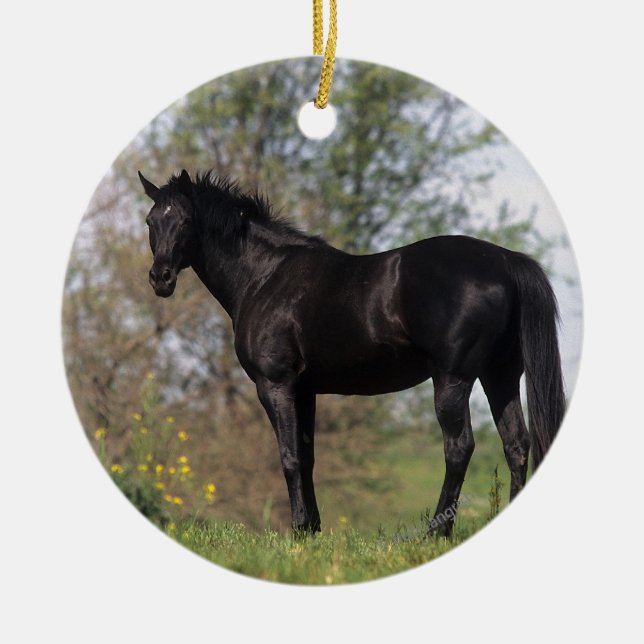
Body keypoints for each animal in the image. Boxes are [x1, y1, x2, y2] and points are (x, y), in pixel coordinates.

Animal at [138, 169, 566, 535]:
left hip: (453, 379)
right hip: (500, 375)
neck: (265, 276)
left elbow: (289, 457)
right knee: (516, 445)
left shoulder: (275, 384)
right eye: (150, 221)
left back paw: (436, 532)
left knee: (459, 448)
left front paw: (297, 531)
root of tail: (505, 261)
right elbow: (307, 457)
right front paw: (312, 530)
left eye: (185, 221)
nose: (160, 278)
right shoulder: (304, 389)